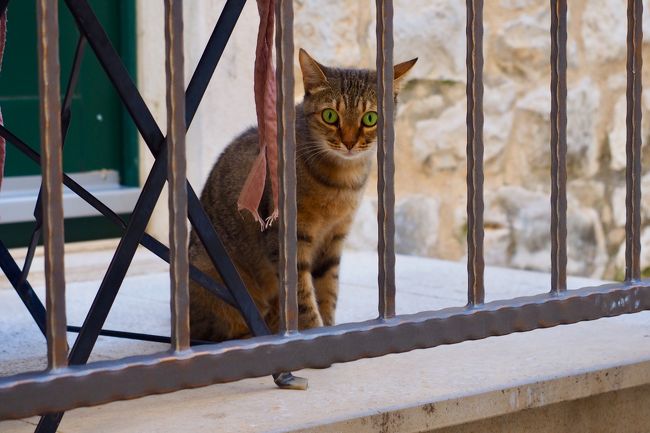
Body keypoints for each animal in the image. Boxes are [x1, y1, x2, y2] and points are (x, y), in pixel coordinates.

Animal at [187, 48, 418, 340]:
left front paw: (329, 327)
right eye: (330, 116)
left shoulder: (333, 240)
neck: (341, 182)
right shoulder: (289, 240)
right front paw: (314, 332)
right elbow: (303, 300)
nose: (349, 142)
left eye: (370, 118)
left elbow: (327, 291)